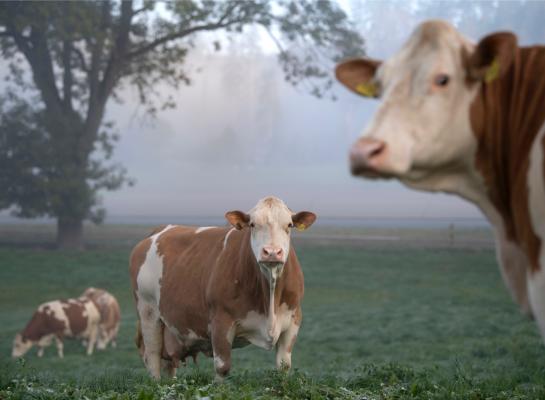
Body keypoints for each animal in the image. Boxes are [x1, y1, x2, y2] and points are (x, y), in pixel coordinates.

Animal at [129, 197, 314, 382]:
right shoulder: (221, 320)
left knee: (167, 363)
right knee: (152, 355)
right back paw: (156, 383)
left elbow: (284, 365)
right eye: (252, 224)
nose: (272, 252)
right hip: (147, 310)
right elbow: (222, 367)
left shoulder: (293, 319)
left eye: (289, 225)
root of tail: (159, 230)